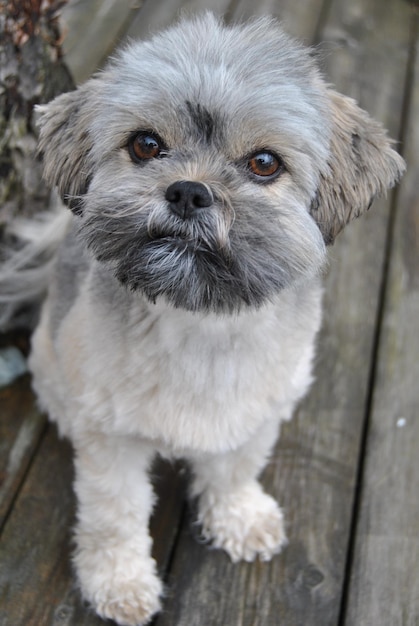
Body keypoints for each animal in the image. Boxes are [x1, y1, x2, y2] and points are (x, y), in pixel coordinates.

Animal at [0, 11, 406, 624]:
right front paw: (118, 581)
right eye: (146, 145)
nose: (189, 191)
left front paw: (239, 518)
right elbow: (114, 514)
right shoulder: (112, 444)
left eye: (264, 163)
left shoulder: (257, 414)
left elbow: (234, 470)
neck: (201, 320)